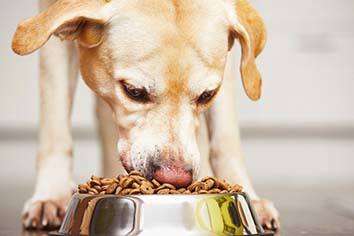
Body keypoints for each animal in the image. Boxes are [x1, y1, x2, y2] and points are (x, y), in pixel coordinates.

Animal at [11, 0, 280, 230]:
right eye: (134, 91)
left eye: (207, 95)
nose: (175, 178)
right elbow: (55, 127)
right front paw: (52, 196)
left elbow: (225, 138)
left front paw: (247, 196)